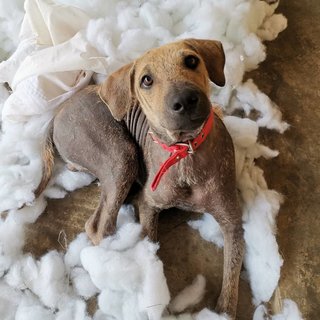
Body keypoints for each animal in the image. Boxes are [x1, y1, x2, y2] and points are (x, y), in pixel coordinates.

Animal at [35, 39, 245, 318]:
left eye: (191, 61)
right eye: (146, 80)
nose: (185, 100)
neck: (185, 152)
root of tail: (56, 115)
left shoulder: (232, 222)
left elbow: (231, 280)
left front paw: (223, 310)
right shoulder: (149, 204)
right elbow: (151, 242)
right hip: (121, 154)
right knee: (98, 225)